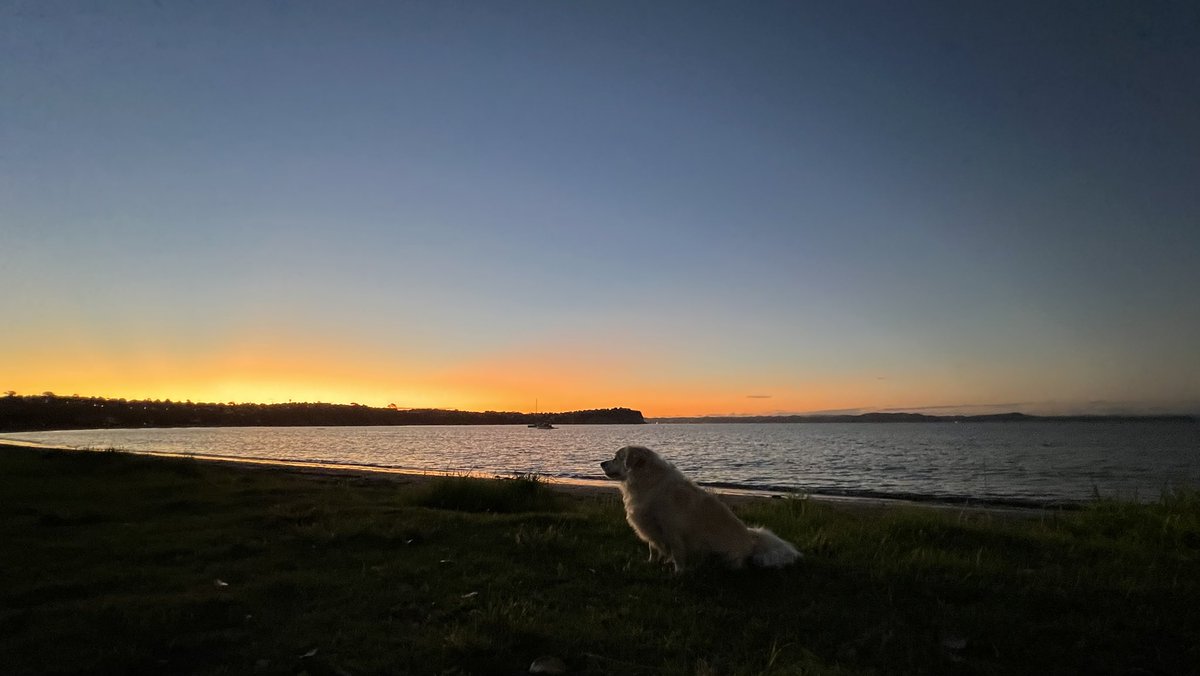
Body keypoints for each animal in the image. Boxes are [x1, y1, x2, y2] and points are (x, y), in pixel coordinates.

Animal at [597, 446, 801, 573]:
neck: (646, 482)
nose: (601, 463)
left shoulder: (672, 529)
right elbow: (653, 548)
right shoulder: (650, 527)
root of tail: (752, 542)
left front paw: (678, 572)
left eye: (617, 458)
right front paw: (651, 563)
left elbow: (677, 553)